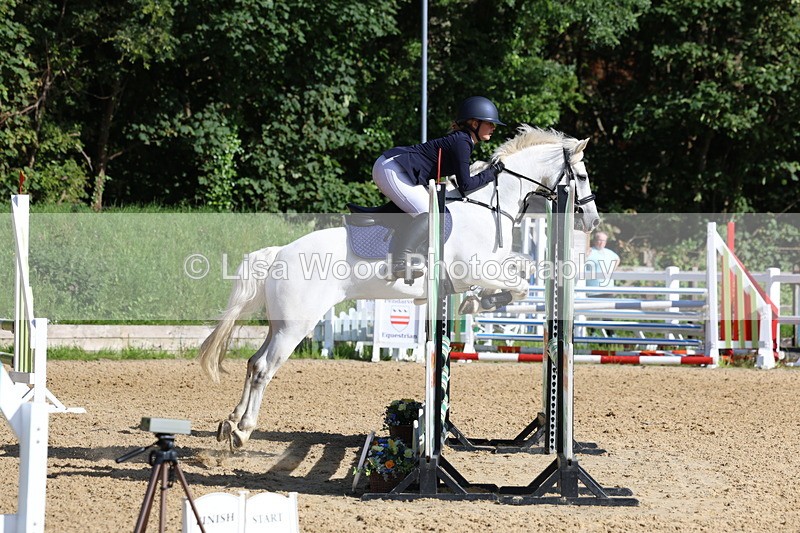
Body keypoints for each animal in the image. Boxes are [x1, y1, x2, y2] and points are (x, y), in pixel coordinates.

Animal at [198, 125, 600, 449]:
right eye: (580, 175)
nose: (593, 221)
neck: (487, 206)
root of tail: (279, 252)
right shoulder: (475, 267)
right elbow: (517, 285)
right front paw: (480, 302)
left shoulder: (490, 263)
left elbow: (524, 266)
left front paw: (479, 300)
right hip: (296, 326)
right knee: (265, 367)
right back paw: (243, 431)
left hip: (279, 324)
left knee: (253, 363)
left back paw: (229, 424)